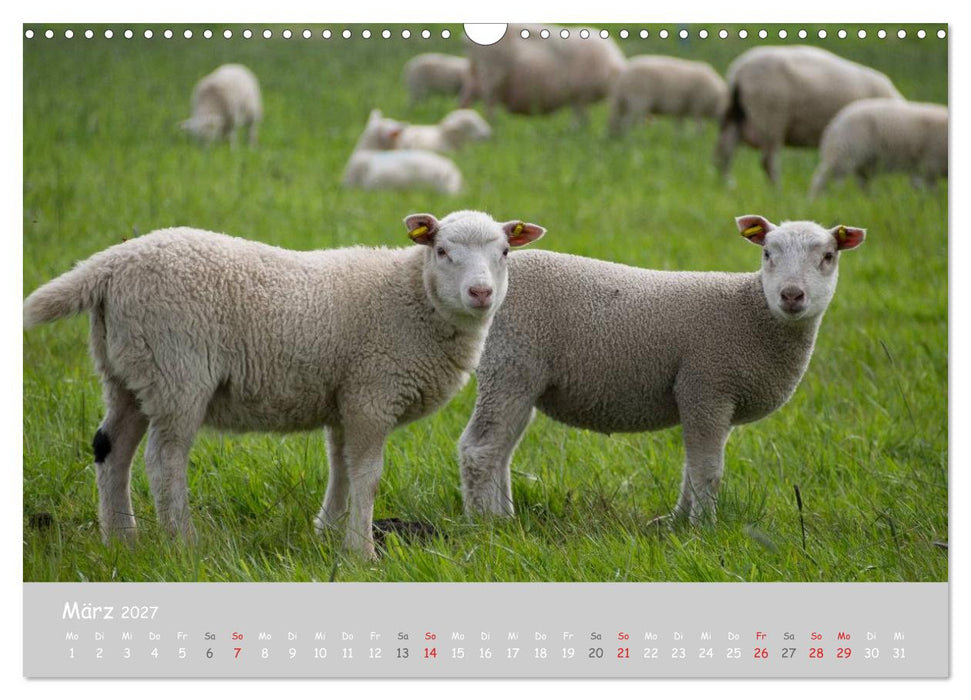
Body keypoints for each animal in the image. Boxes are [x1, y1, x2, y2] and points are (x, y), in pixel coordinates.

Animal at [22, 212, 547, 558]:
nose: (480, 293)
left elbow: (340, 466)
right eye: (441, 251)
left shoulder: (345, 395)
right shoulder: (372, 392)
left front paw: (329, 531)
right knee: (163, 459)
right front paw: (361, 551)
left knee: (111, 449)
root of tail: (111, 263)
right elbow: (367, 473)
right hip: (177, 370)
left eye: (504, 253)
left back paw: (121, 541)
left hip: (127, 370)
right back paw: (182, 543)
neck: (411, 298)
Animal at [459, 215, 865, 525]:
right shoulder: (705, 386)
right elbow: (707, 471)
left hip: (521, 378)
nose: (791, 295)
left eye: (828, 256)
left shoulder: (716, 400)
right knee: (480, 449)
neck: (750, 311)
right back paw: (485, 522)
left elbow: (692, 468)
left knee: (501, 450)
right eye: (767, 253)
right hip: (509, 365)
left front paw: (677, 522)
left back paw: (505, 516)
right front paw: (703, 529)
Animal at [461, 23, 625, 120]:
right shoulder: (580, 95)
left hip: (475, 74)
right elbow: (582, 119)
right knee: (489, 106)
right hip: (491, 78)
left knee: (466, 99)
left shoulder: (576, 96)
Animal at [715, 46, 903, 183]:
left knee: (725, 151)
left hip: (735, 115)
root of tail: (739, 71)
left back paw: (727, 183)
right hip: (770, 119)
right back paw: (777, 191)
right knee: (768, 162)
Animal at [809, 99, 948, 198]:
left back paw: (868, 200)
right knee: (821, 178)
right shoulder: (931, 164)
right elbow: (932, 190)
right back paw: (816, 201)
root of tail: (837, 119)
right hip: (844, 151)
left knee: (862, 183)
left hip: (864, 162)